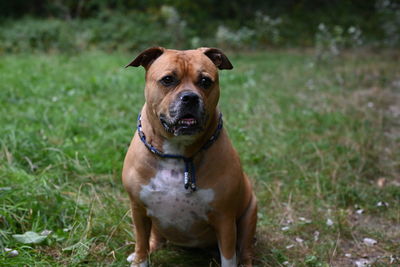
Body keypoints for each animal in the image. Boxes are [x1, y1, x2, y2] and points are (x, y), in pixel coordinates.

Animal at [122, 47, 258, 266]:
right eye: (168, 79)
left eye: (205, 81)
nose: (190, 97)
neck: (178, 153)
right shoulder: (138, 210)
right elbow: (141, 244)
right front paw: (139, 259)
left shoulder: (225, 219)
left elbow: (229, 256)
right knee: (154, 240)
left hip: (250, 213)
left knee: (245, 250)